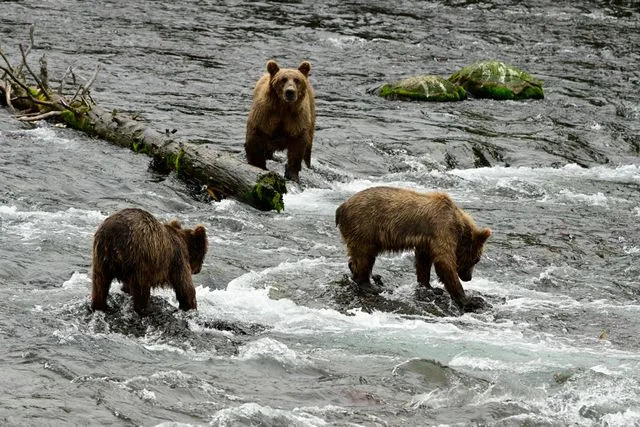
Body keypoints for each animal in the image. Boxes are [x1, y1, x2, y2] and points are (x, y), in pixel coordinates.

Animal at [335, 187, 491, 311]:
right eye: (476, 260)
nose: (468, 277)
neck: (458, 226)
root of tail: (341, 208)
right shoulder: (442, 230)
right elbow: (444, 262)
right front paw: (471, 301)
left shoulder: (427, 240)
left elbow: (423, 262)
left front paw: (431, 288)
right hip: (365, 226)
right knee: (365, 256)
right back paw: (369, 285)